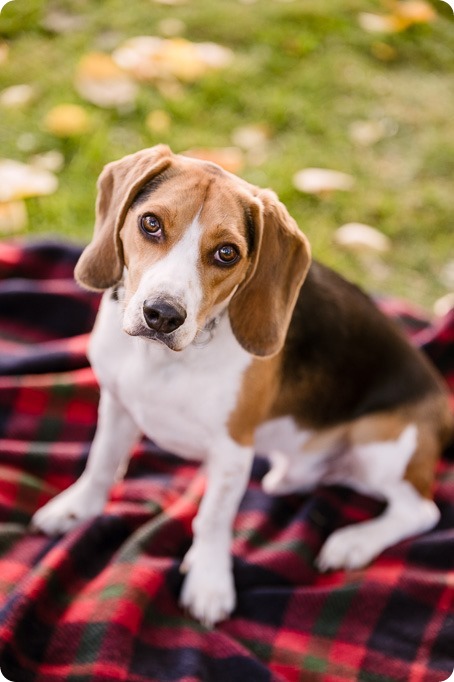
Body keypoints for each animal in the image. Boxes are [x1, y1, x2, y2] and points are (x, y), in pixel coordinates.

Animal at [31, 146, 450, 624]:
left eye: (227, 253)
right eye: (151, 223)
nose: (162, 315)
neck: (164, 359)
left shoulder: (233, 449)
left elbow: (213, 518)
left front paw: (209, 582)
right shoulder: (117, 405)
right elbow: (102, 462)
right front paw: (77, 508)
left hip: (379, 443)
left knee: (421, 511)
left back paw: (353, 542)